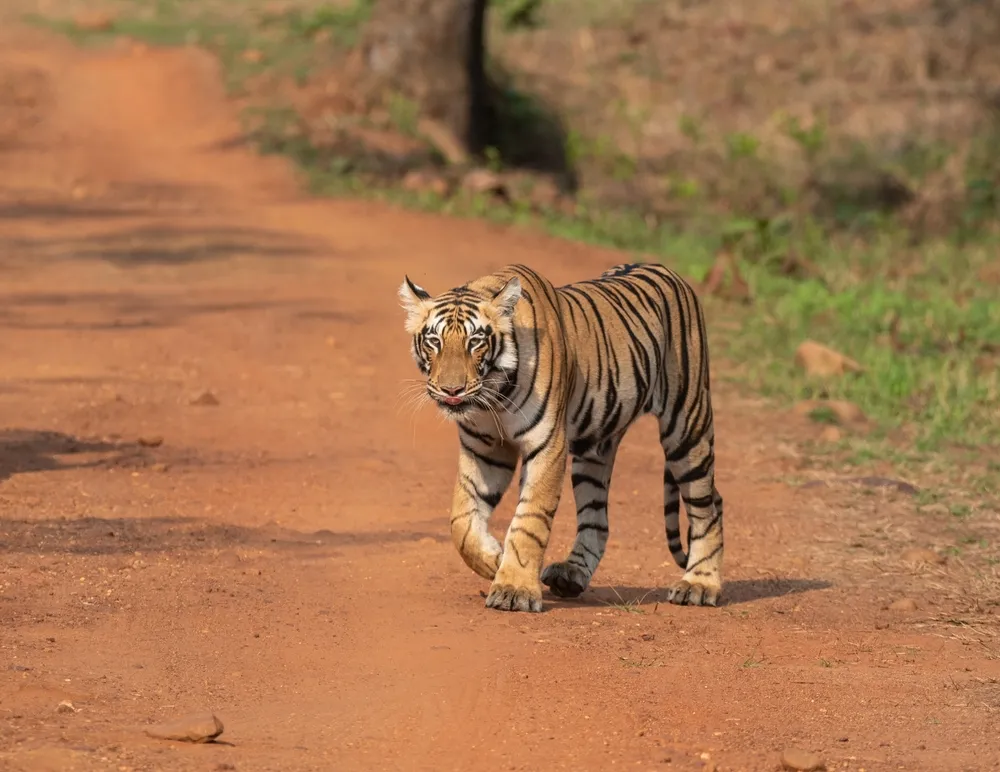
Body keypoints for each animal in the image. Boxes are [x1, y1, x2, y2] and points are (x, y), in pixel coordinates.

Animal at [398, 262, 724, 613]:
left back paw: (700, 585)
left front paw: (514, 589)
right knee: (598, 520)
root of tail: (668, 271)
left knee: (708, 508)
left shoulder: (547, 446)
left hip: (687, 427)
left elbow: (529, 520)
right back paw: (571, 574)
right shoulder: (484, 449)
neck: (494, 397)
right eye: (434, 341)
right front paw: (493, 559)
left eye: (475, 342)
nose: (452, 390)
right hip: (595, 451)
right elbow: (460, 520)